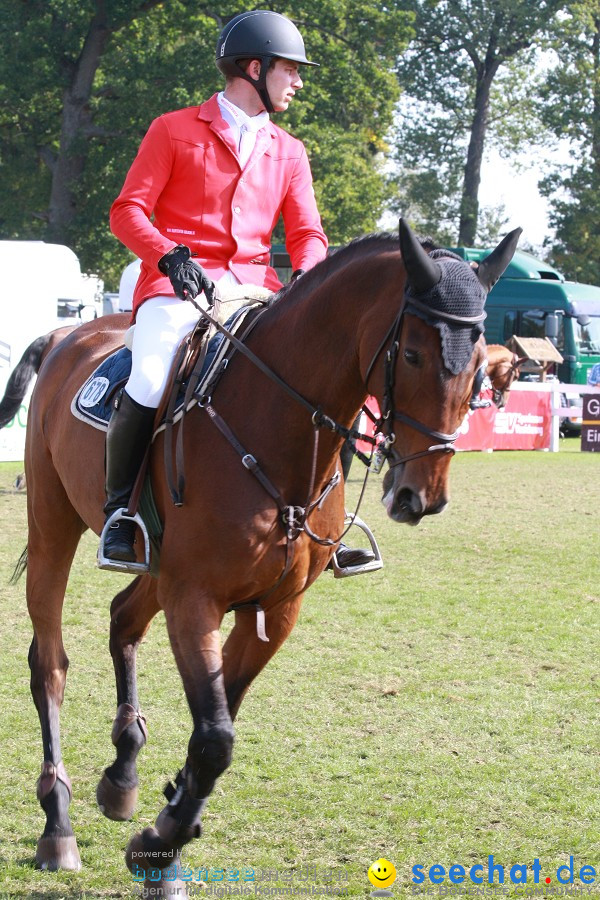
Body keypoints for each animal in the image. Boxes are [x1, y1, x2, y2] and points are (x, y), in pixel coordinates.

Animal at [21, 220, 516, 892]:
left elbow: (216, 727)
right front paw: (159, 846)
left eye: (481, 368)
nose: (422, 496)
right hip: (53, 524)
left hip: (154, 565)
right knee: (49, 662)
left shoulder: (275, 609)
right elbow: (215, 737)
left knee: (123, 617)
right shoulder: (194, 598)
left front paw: (167, 826)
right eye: (412, 354)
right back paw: (58, 824)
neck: (274, 430)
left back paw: (122, 777)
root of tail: (67, 333)